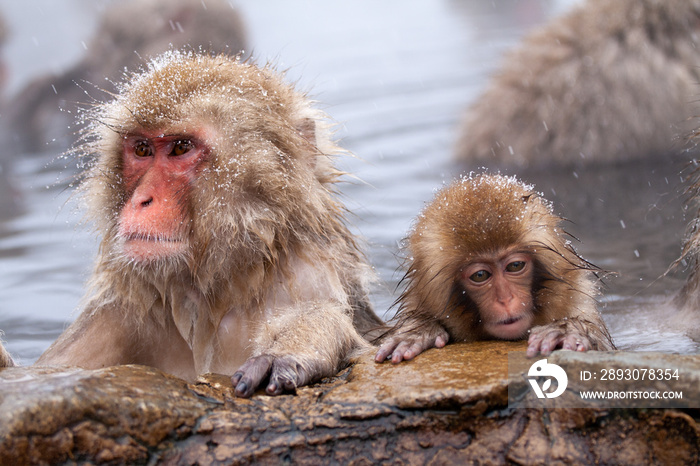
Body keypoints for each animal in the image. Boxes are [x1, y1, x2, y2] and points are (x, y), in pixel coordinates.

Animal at [16, 52, 382, 398]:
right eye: (142, 149)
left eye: (180, 148)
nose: (141, 199)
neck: (215, 298)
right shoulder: (119, 314)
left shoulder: (310, 276)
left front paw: (300, 341)